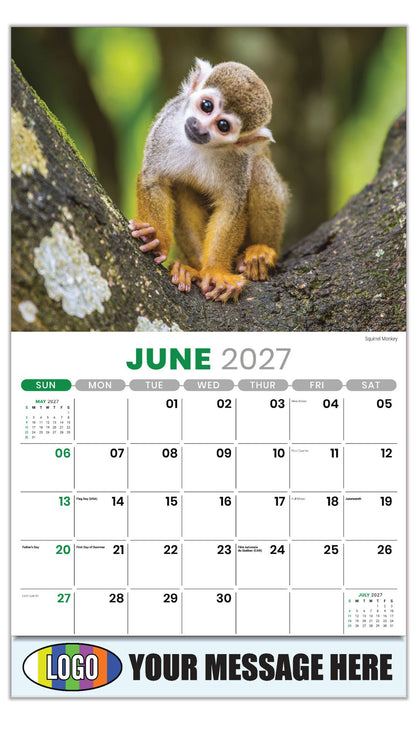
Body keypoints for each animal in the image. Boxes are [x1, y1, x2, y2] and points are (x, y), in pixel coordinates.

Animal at [128, 58, 289, 302]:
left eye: (223, 126)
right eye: (206, 106)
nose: (200, 127)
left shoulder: (238, 159)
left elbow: (231, 207)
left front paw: (215, 271)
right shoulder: (166, 123)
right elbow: (154, 179)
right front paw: (156, 239)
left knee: (259, 168)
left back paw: (262, 253)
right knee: (183, 186)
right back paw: (191, 270)